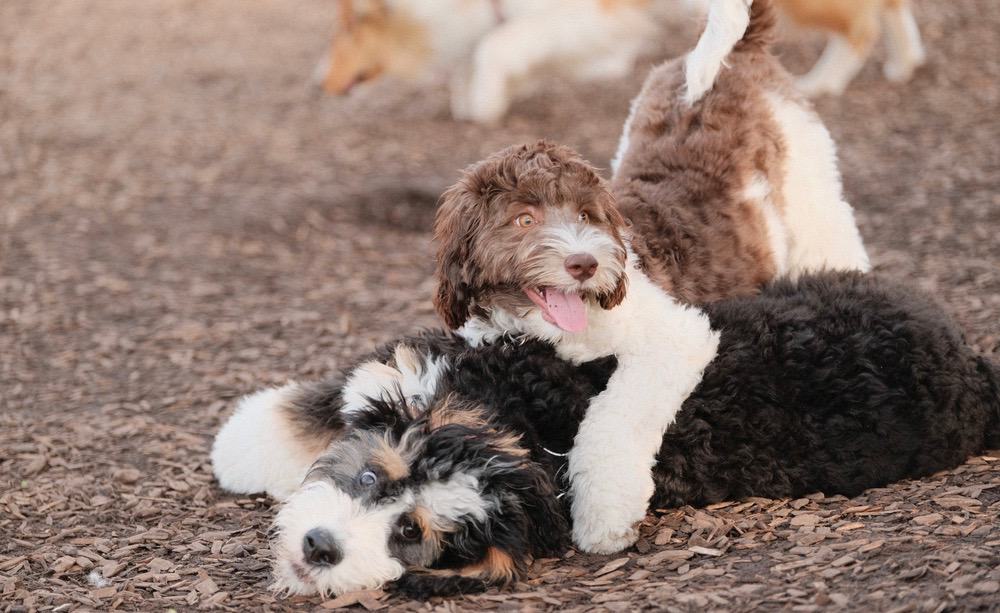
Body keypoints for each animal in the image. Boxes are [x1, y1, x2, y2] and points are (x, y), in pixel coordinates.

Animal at [211, 272, 1000, 596]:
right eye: (371, 476)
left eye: (413, 534)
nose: (321, 546)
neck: (519, 425)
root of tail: (973, 366)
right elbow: (329, 402)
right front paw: (242, 442)